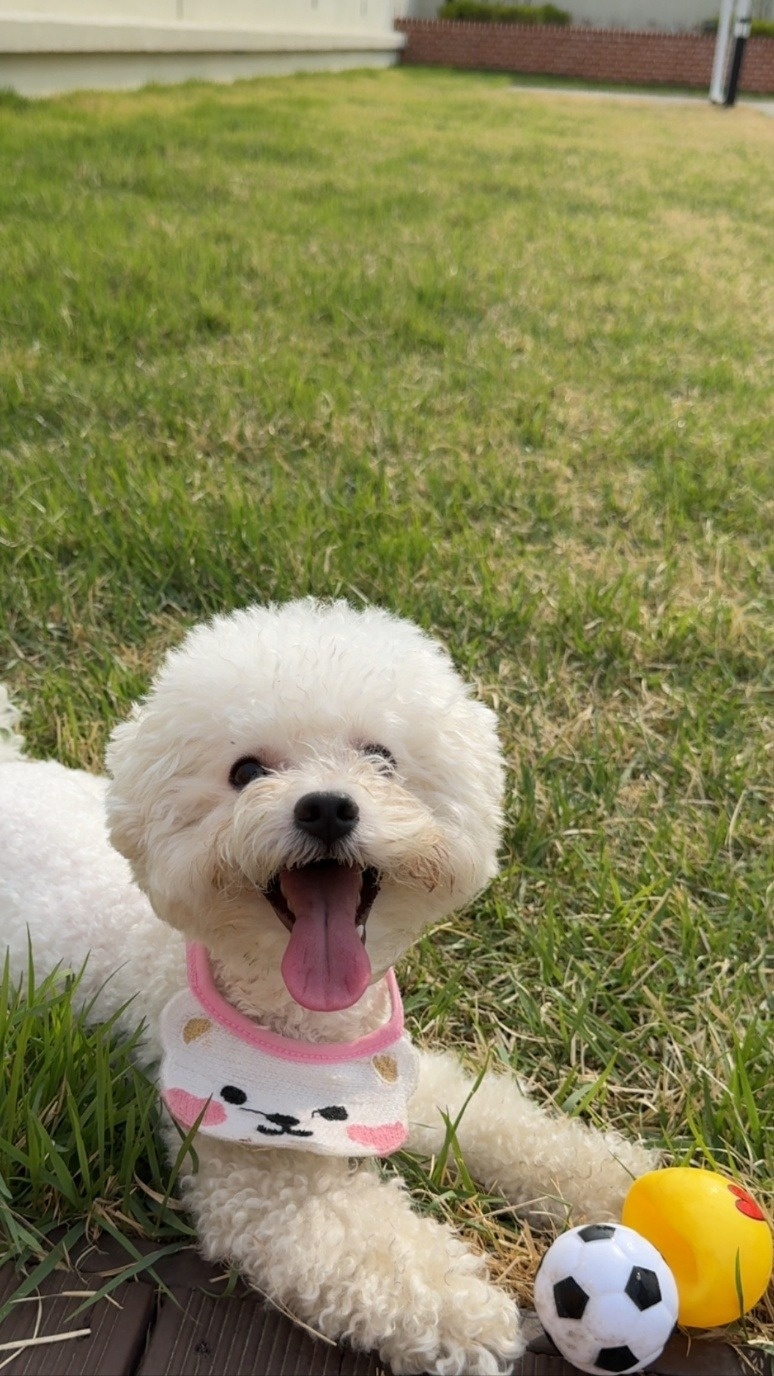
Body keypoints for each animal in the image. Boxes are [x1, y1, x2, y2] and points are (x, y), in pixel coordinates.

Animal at [0, 602, 650, 1376]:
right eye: (247, 771)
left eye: (382, 759)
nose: (327, 808)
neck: (307, 1024)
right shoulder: (259, 1180)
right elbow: (368, 1248)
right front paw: (467, 1313)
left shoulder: (400, 1080)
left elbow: (501, 1121)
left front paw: (615, 1178)